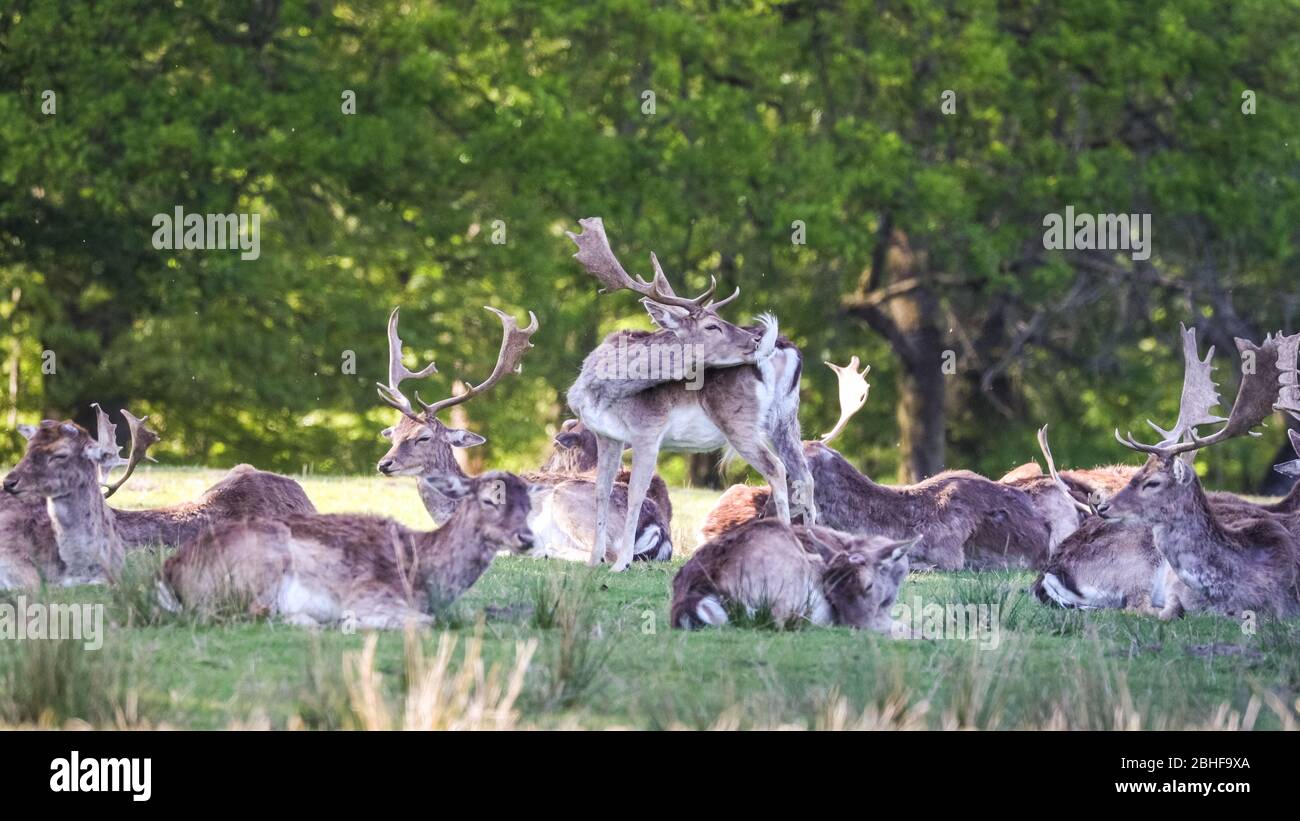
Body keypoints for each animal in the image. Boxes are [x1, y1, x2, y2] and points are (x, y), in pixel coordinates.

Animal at [159, 470, 535, 626]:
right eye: (489, 499)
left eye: (529, 505)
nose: (527, 539)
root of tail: (169, 569)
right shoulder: (371, 594)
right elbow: (424, 623)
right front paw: (351, 621)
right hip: (260, 562)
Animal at [566, 218, 811, 571]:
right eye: (712, 325)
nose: (753, 341)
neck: (601, 388)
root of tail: (787, 351)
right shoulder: (606, 435)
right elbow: (601, 489)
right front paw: (593, 560)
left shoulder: (648, 429)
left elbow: (636, 492)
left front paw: (620, 562)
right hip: (787, 419)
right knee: (805, 475)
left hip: (740, 422)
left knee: (777, 469)